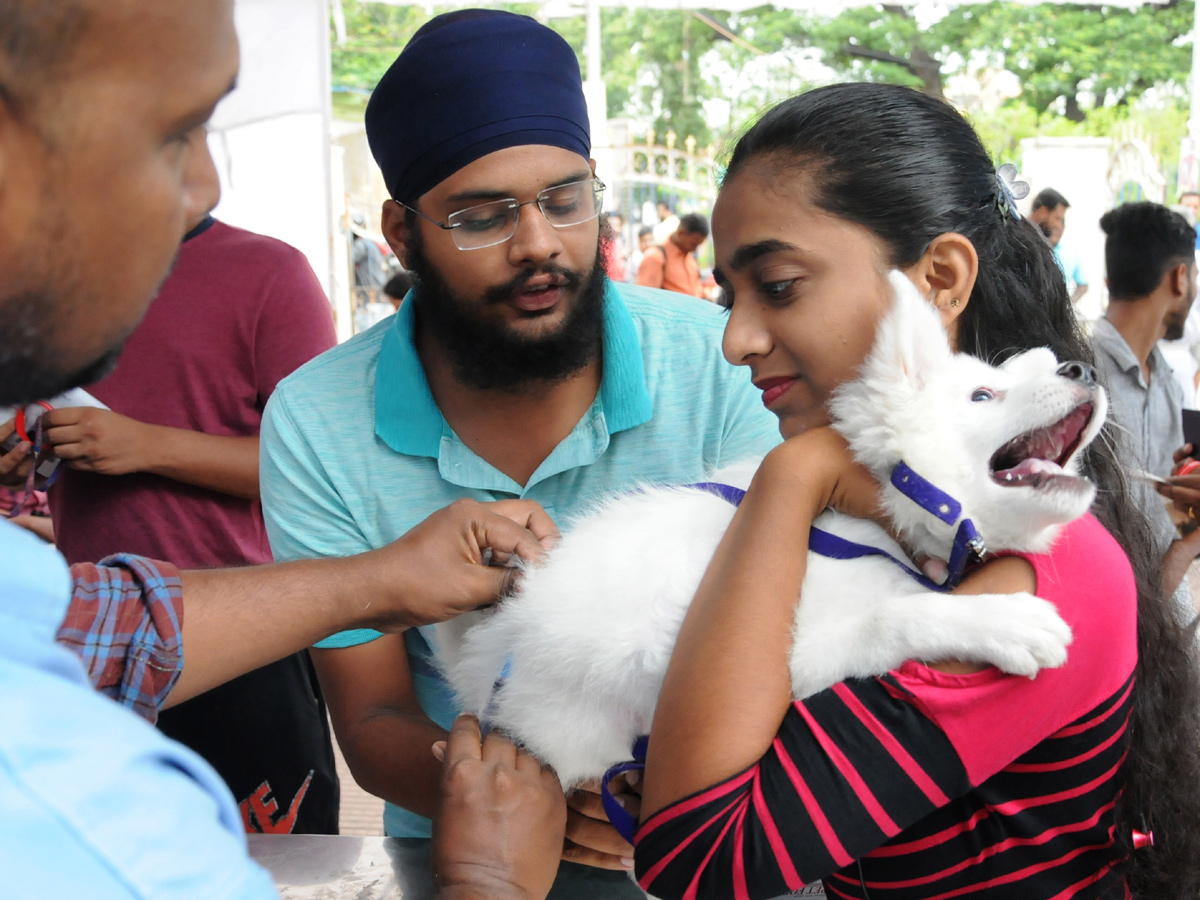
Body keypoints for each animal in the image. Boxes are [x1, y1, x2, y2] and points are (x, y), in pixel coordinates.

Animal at [432, 271, 1104, 792]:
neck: (882, 528)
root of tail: (491, 654)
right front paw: (998, 620)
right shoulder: (784, 666)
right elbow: (891, 618)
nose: (1081, 367)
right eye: (983, 396)